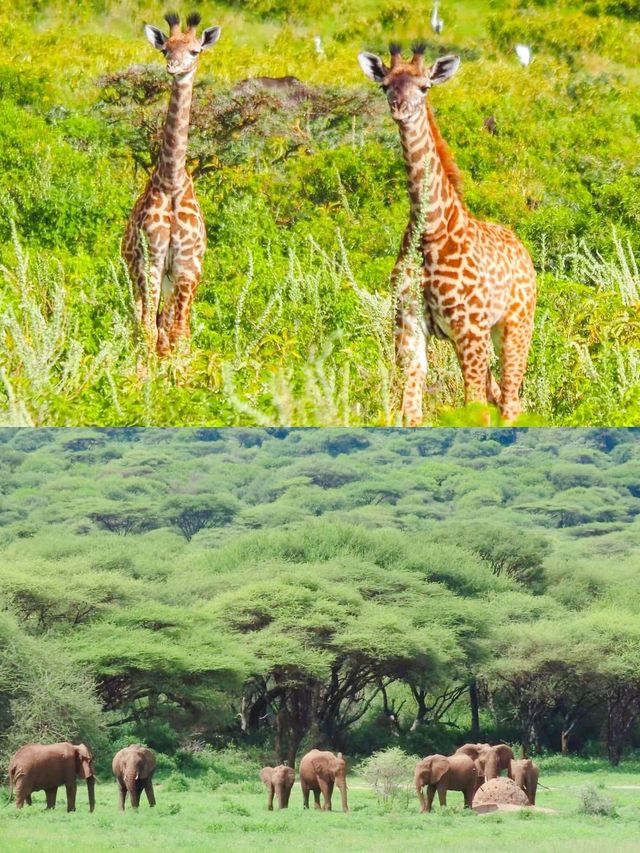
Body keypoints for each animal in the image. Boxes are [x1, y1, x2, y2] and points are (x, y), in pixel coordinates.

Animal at [122, 11, 222, 354]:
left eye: (195, 51)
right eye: (166, 49)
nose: (174, 68)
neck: (171, 180)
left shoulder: (186, 268)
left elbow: (178, 334)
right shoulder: (150, 261)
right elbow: (149, 331)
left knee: (171, 328)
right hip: (139, 273)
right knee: (144, 324)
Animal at [358, 45, 536, 424]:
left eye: (425, 87)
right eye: (386, 86)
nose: (400, 109)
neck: (431, 232)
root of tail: (522, 248)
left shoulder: (469, 330)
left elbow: (476, 410)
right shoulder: (409, 329)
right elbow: (411, 414)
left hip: (515, 326)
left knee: (510, 401)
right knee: (500, 396)